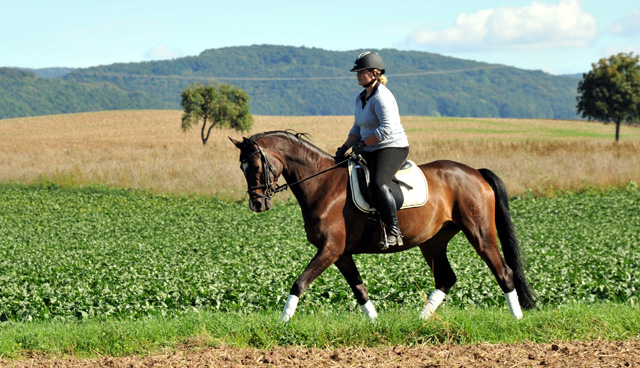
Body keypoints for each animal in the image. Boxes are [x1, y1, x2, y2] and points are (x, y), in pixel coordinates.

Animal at [230, 131, 536, 320]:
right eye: (241, 168)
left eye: (255, 166)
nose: (256, 205)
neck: (321, 184)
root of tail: (475, 173)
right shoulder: (340, 254)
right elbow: (359, 290)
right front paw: (375, 323)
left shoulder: (330, 249)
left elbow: (299, 283)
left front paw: (282, 322)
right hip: (433, 241)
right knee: (446, 278)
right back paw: (419, 320)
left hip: (480, 233)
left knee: (504, 272)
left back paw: (517, 318)